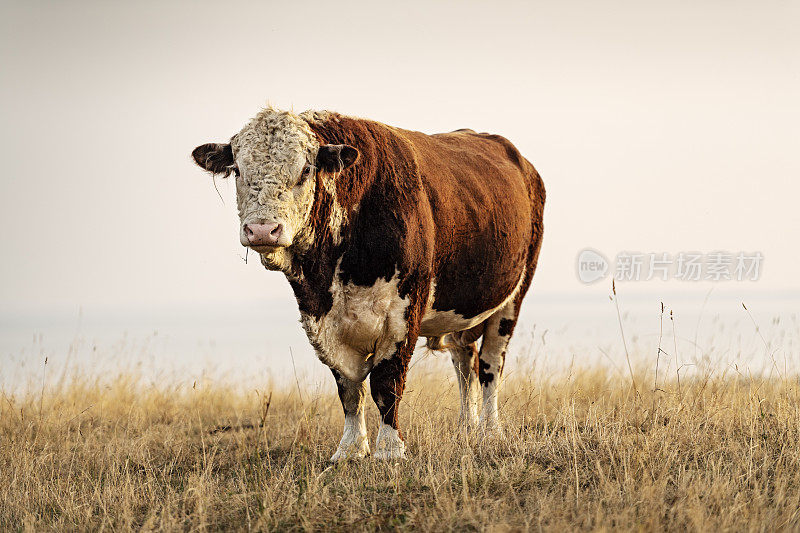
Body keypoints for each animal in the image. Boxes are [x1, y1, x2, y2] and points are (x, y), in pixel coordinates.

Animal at [193, 106, 544, 460]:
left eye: (305, 169)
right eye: (238, 170)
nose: (263, 230)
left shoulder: (404, 312)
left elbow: (387, 383)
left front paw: (390, 449)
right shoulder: (321, 318)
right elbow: (349, 389)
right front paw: (349, 448)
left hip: (513, 296)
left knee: (490, 365)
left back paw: (490, 432)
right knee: (464, 361)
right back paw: (467, 428)